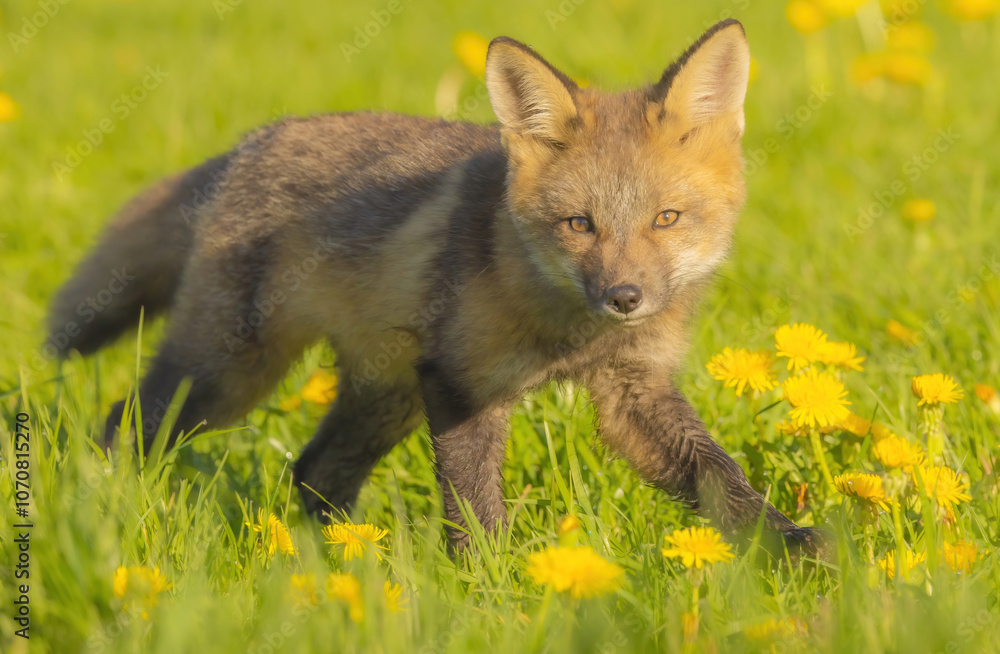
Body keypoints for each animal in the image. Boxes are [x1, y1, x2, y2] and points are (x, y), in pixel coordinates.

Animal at [49, 19, 824, 556]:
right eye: (580, 224)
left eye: (666, 219)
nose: (626, 298)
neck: (568, 332)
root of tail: (253, 142)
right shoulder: (461, 382)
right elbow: (476, 510)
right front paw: (498, 589)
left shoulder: (632, 392)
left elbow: (720, 479)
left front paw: (792, 549)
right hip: (228, 376)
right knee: (122, 428)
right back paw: (105, 515)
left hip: (384, 394)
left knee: (314, 472)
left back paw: (345, 567)